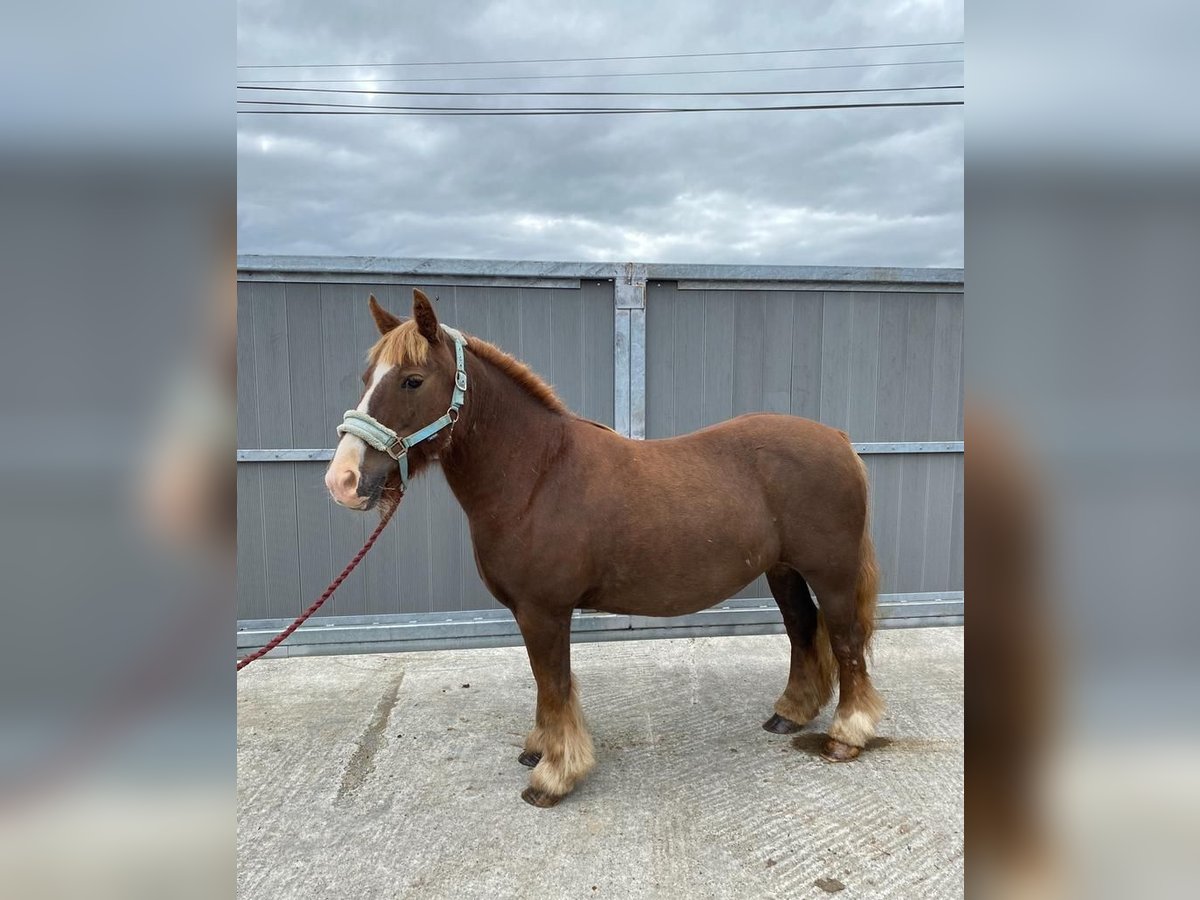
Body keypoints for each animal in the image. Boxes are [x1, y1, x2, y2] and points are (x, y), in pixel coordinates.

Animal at [324, 290, 888, 811]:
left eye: (412, 380)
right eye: (367, 376)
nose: (343, 480)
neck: (537, 475)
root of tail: (838, 440)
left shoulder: (544, 610)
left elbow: (552, 683)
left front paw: (554, 775)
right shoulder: (533, 612)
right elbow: (547, 685)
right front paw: (540, 749)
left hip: (832, 572)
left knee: (845, 641)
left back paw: (847, 735)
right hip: (784, 571)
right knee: (802, 629)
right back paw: (790, 713)